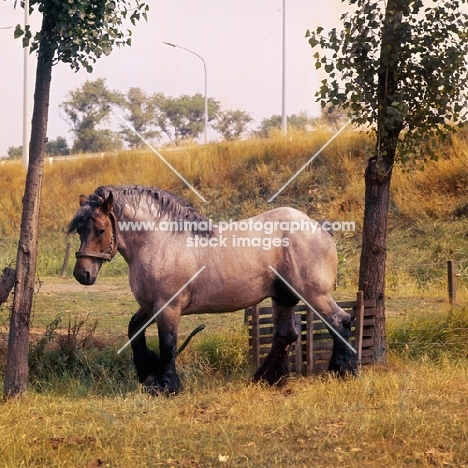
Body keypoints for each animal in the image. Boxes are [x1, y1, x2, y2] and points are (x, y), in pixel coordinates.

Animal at [68, 185, 354, 394]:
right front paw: (147, 374)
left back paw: (342, 371)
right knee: (286, 335)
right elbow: (134, 330)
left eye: (101, 229)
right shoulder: (149, 306)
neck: (160, 242)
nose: (82, 274)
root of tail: (321, 228)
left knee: (339, 321)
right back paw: (266, 378)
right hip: (283, 297)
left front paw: (167, 385)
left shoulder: (168, 308)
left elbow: (168, 344)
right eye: (80, 230)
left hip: (314, 294)